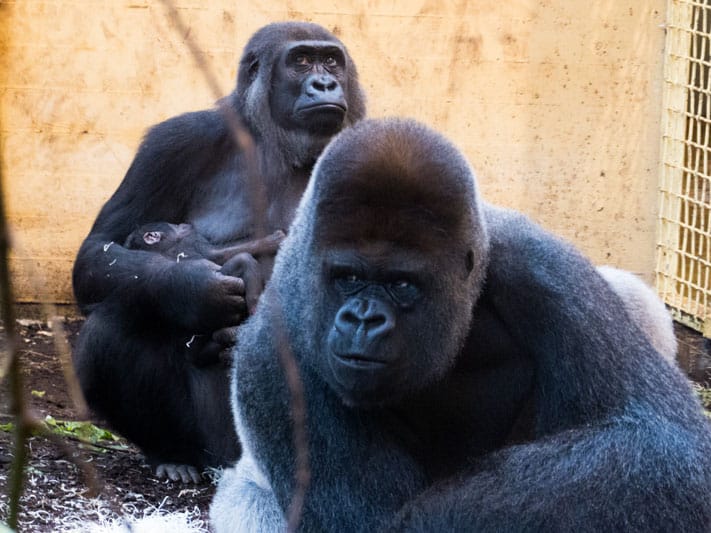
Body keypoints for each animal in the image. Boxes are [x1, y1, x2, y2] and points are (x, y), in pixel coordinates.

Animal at [126, 222, 286, 314]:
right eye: (175, 226)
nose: (182, 223)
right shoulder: (193, 241)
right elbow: (218, 254)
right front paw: (272, 240)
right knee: (243, 260)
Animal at [210, 119, 711, 532]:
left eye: (402, 284)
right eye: (347, 277)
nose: (364, 319)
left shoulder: (544, 267)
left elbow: (670, 443)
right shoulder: (276, 353)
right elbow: (378, 523)